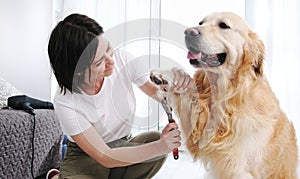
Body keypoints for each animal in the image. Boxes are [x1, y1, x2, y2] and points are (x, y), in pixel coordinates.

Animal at [150, 11, 298, 178]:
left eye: (223, 25)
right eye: (201, 23)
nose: (188, 32)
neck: (224, 93)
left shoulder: (237, 167)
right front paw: (163, 75)